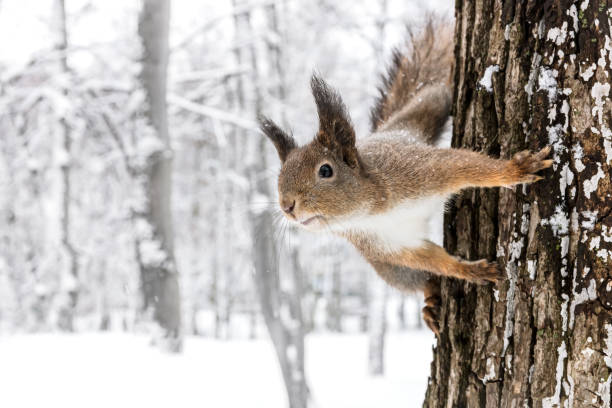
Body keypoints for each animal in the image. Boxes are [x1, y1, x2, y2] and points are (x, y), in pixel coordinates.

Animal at [256, 19, 552, 334]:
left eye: (325, 170)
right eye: (279, 177)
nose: (287, 206)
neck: (370, 211)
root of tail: (391, 129)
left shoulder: (419, 171)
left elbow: (467, 167)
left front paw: (515, 170)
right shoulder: (389, 245)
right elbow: (431, 260)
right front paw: (469, 270)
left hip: (425, 111)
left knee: (436, 94)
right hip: (388, 269)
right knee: (418, 280)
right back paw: (430, 302)